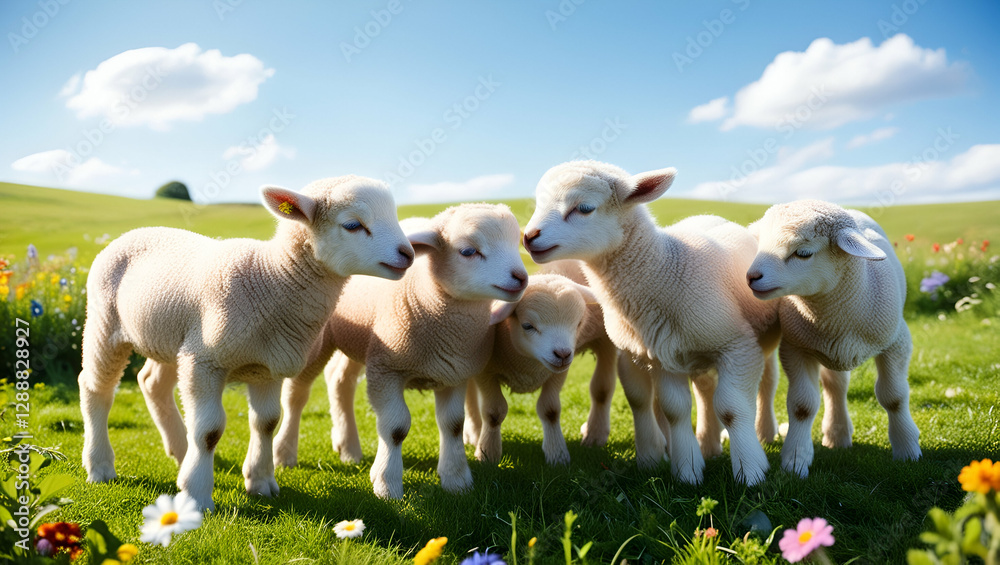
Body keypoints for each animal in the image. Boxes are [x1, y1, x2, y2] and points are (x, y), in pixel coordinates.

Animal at [79, 175, 415, 512]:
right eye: (353, 225)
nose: (408, 254)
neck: (272, 277)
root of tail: (134, 233)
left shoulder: (266, 367)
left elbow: (266, 422)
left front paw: (261, 481)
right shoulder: (205, 362)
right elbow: (208, 430)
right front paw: (196, 494)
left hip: (172, 339)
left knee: (151, 383)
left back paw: (180, 449)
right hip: (104, 324)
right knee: (96, 388)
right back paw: (100, 465)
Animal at [271, 204, 528, 499]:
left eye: (515, 244)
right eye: (468, 251)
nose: (521, 278)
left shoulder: (452, 372)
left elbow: (452, 424)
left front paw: (456, 480)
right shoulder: (386, 369)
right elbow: (395, 428)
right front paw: (387, 484)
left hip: (359, 340)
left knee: (340, 381)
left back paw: (349, 448)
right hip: (318, 340)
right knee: (296, 394)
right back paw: (284, 453)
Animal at [462, 262, 615, 466]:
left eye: (578, 323)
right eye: (528, 326)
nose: (563, 354)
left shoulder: (558, 372)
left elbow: (550, 410)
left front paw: (557, 454)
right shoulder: (486, 372)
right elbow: (493, 412)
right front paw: (487, 455)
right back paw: (474, 433)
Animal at [522, 160, 781, 485]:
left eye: (584, 208)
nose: (528, 236)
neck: (664, 269)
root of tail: (710, 216)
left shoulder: (737, 346)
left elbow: (732, 408)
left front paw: (751, 471)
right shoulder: (663, 354)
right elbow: (674, 410)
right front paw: (687, 470)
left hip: (760, 339)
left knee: (766, 383)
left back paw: (765, 433)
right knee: (705, 389)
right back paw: (708, 444)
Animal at [746, 199, 921, 477]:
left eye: (803, 253)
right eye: (760, 245)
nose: (751, 277)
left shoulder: (897, 343)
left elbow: (894, 397)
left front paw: (907, 450)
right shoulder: (795, 348)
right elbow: (802, 406)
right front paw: (795, 459)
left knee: (837, 385)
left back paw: (838, 435)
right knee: (823, 385)